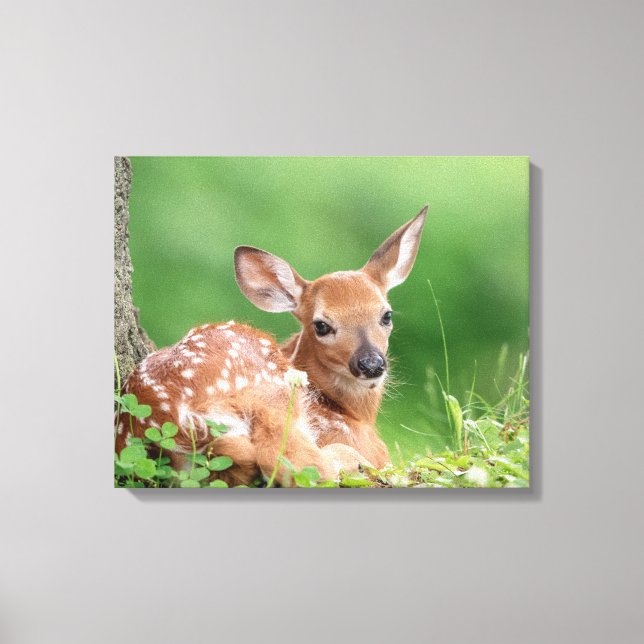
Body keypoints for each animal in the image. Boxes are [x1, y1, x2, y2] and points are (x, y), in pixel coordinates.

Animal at [115, 205, 427, 486]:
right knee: (293, 463)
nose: (371, 364)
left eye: (386, 315)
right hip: (271, 393)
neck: (349, 411)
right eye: (321, 325)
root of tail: (182, 420)